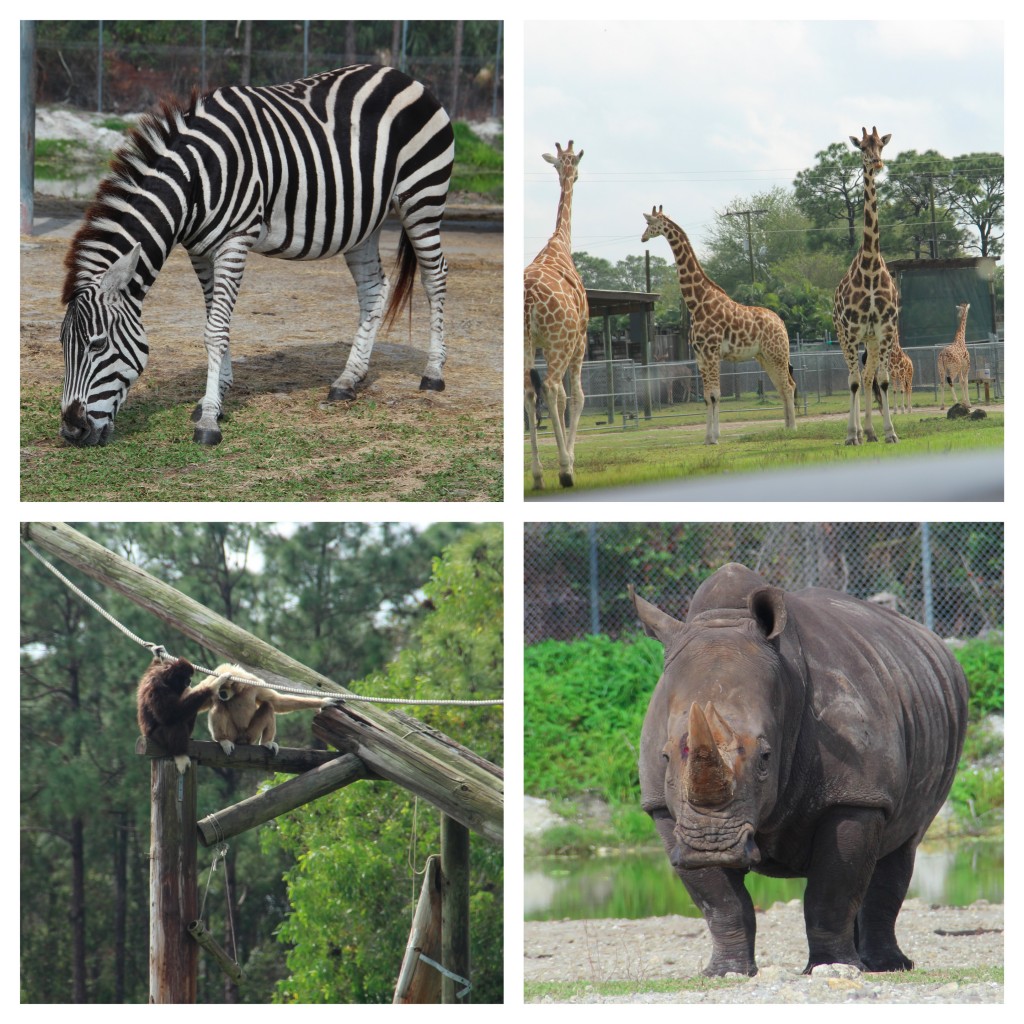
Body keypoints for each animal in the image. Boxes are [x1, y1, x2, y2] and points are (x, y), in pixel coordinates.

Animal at [58, 64, 452, 446]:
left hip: (422, 198)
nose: (72, 431)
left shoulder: (235, 240)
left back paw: (432, 373)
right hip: (362, 222)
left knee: (435, 278)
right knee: (373, 289)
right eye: (62, 344)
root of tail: (400, 75)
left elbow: (215, 329)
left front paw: (208, 421)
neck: (196, 181)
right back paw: (348, 380)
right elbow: (214, 319)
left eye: (98, 344)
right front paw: (216, 398)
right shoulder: (199, 250)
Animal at [638, 204, 798, 444]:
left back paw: (793, 428)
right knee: (781, 385)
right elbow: (707, 396)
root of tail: (781, 323)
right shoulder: (700, 355)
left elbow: (715, 395)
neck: (697, 302)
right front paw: (708, 437)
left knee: (788, 385)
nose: (642, 237)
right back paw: (786, 427)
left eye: (649, 223)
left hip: (777, 353)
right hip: (764, 356)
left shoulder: (711, 351)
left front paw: (713, 438)